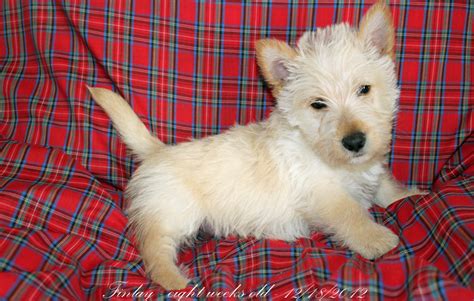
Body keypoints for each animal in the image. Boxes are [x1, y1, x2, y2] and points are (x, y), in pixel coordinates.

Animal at [88, 0, 422, 290]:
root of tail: (158, 151)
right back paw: (175, 280)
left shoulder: (371, 172)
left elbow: (387, 189)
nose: (354, 141)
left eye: (364, 89)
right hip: (173, 213)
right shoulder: (323, 194)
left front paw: (411, 194)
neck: (325, 152)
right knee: (154, 249)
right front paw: (378, 239)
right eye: (318, 104)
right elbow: (351, 214)